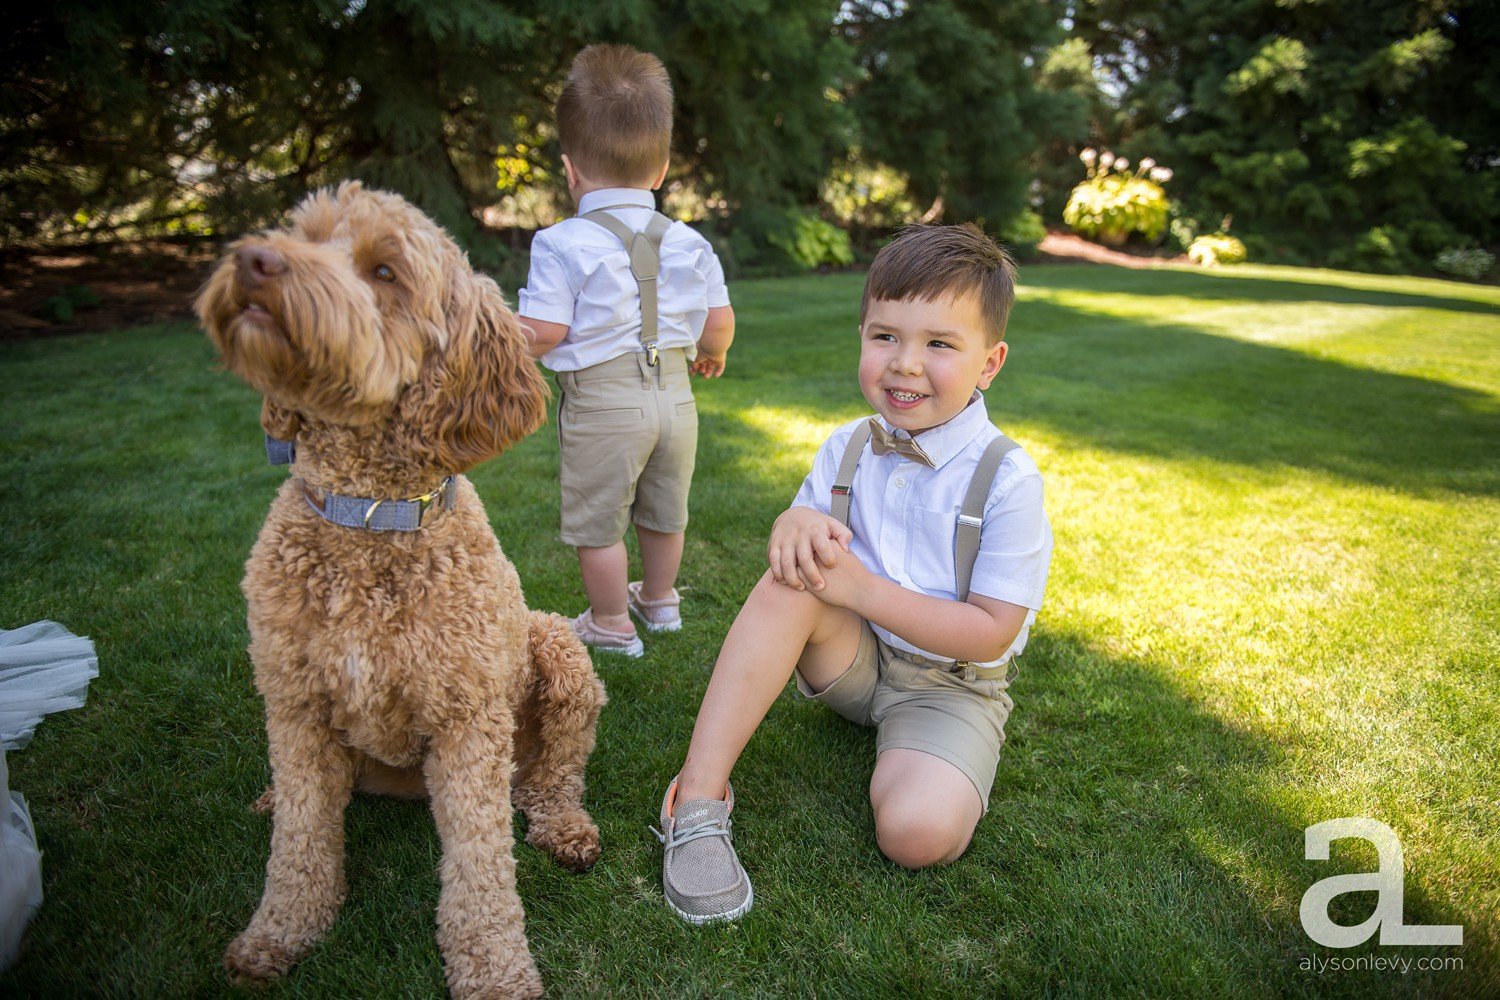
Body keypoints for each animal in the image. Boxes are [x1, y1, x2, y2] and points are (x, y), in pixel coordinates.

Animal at [196, 182, 606, 1000]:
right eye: (304, 234)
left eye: (384, 271)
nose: (256, 260)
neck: (369, 517)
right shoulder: (295, 707)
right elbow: (301, 842)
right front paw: (278, 933)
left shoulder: (467, 721)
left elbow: (481, 866)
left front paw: (496, 971)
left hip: (557, 654)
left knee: (549, 779)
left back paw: (566, 828)